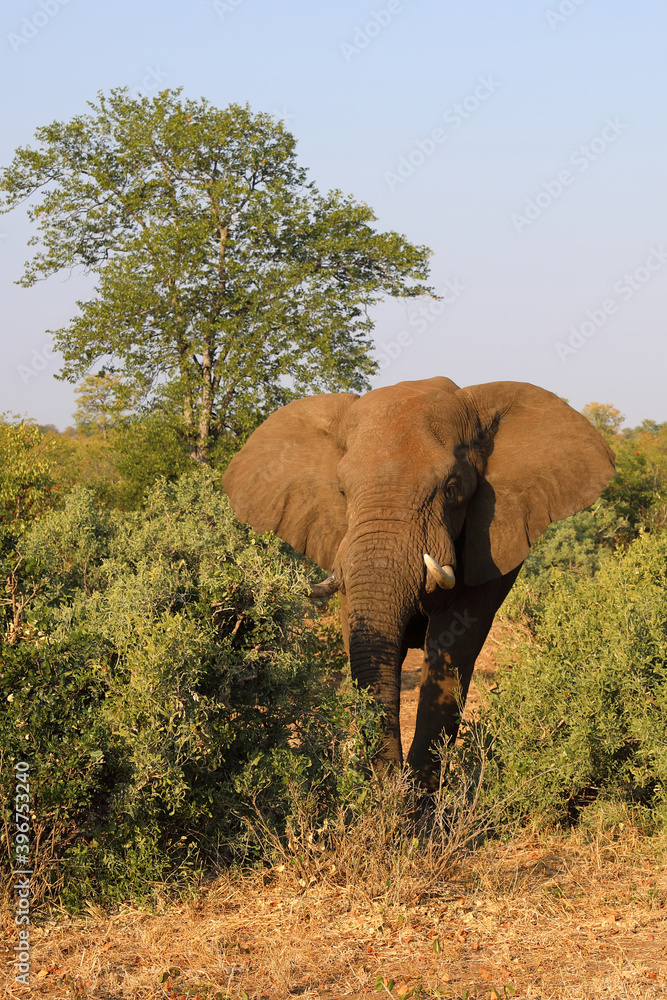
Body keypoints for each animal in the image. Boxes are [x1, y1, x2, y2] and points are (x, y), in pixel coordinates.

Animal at [223, 377, 615, 785]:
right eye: (342, 491)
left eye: (452, 488)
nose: (388, 779)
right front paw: (384, 788)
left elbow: (453, 648)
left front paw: (415, 795)